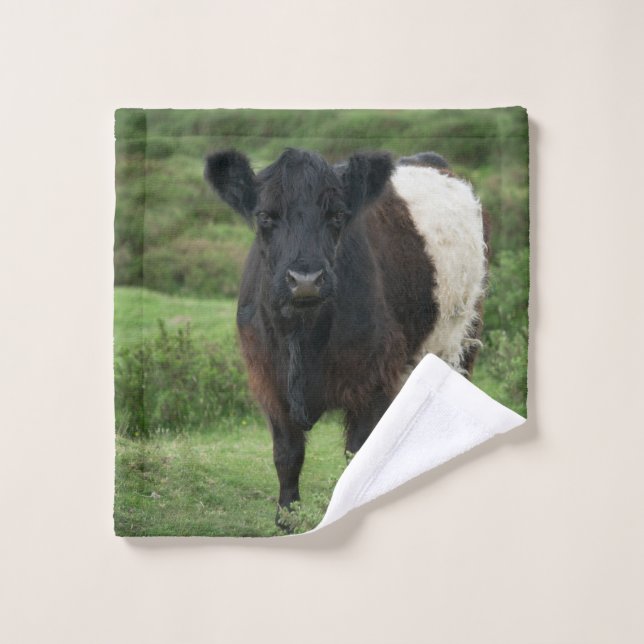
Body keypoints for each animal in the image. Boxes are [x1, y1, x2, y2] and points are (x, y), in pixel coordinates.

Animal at [205, 147, 487, 526]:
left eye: (338, 215)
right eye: (264, 216)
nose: (305, 279)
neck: (303, 336)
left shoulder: (373, 380)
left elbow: (359, 454)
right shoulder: (267, 379)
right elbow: (287, 453)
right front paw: (286, 518)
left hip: (465, 339)